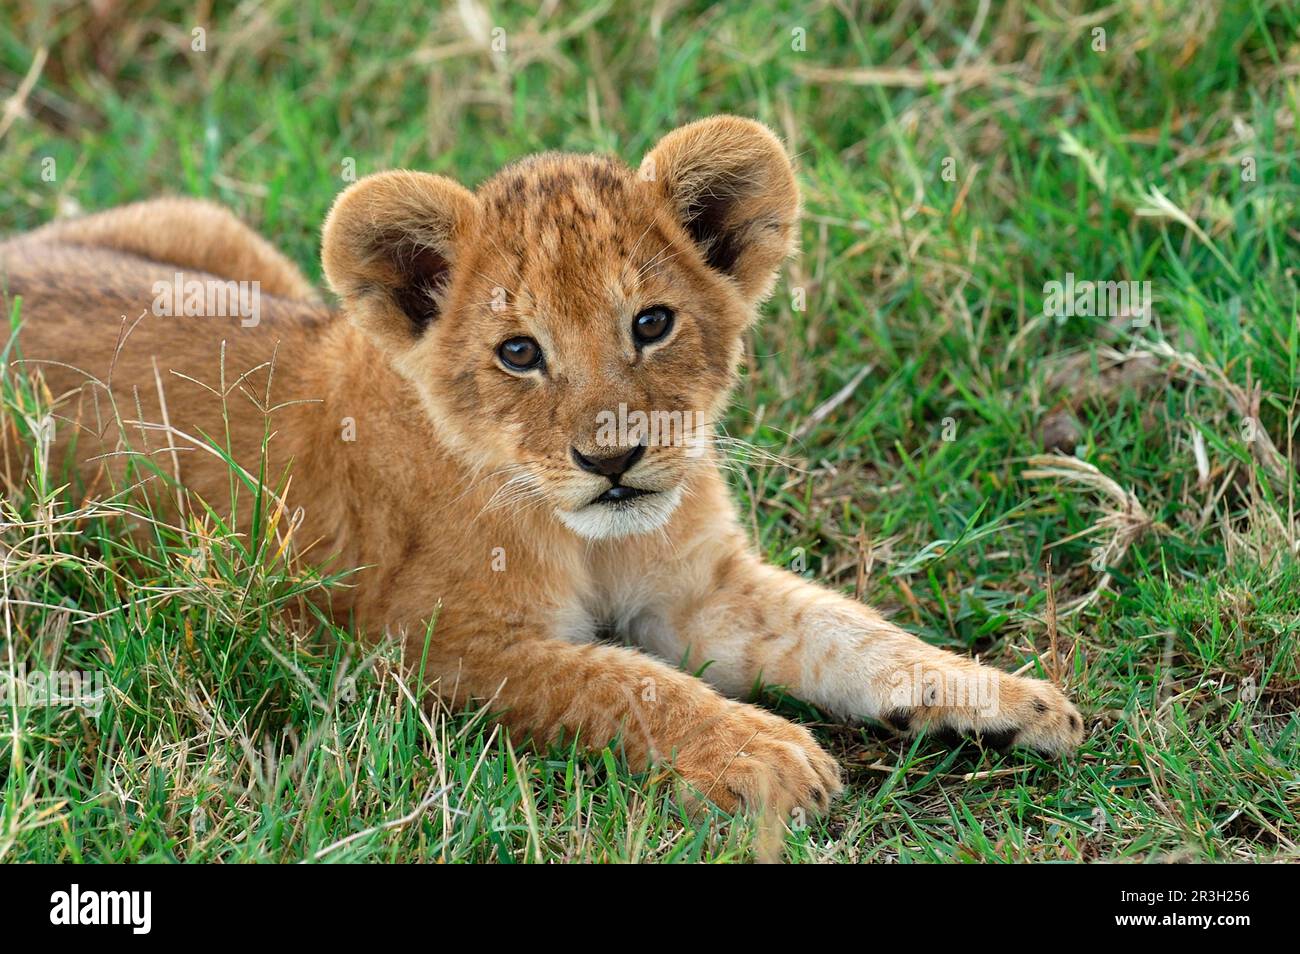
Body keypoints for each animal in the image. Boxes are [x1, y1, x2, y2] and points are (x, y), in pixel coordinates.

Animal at [0, 116, 1082, 853]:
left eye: (651, 323)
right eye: (519, 352)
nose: (613, 460)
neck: (585, 534)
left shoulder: (702, 590)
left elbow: (845, 631)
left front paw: (1010, 697)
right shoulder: (428, 647)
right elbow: (623, 681)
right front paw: (766, 753)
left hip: (214, 234)